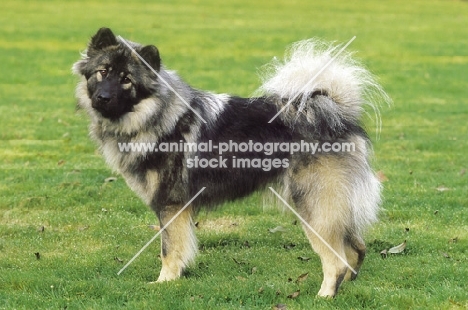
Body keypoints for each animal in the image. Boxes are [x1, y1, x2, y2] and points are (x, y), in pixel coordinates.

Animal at [73, 27, 388, 296]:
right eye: (103, 72)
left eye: (127, 79)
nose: (103, 97)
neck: (158, 115)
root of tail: (338, 115)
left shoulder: (171, 206)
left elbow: (169, 249)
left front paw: (165, 282)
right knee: (356, 248)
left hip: (313, 206)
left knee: (336, 260)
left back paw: (325, 295)